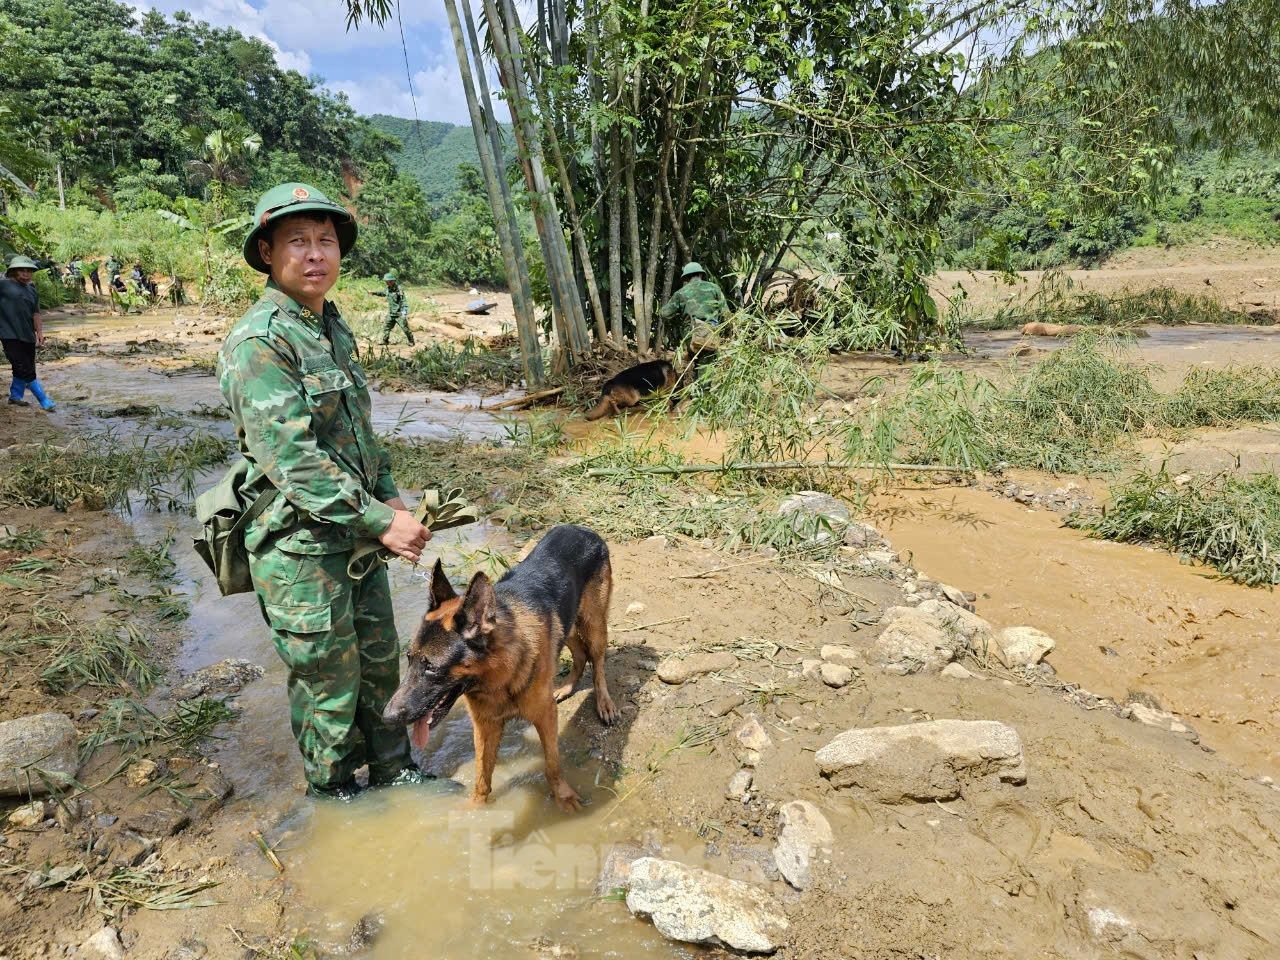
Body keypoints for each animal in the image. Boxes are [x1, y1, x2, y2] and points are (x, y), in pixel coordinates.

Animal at [381, 527, 616, 814]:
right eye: (409, 659)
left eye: (431, 668)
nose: (387, 717)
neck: (499, 676)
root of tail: (581, 529)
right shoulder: (485, 727)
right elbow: (482, 779)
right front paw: (476, 812)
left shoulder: (546, 717)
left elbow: (552, 764)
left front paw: (564, 797)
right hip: (568, 624)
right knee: (580, 654)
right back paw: (567, 686)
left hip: (594, 625)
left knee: (598, 662)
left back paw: (604, 703)